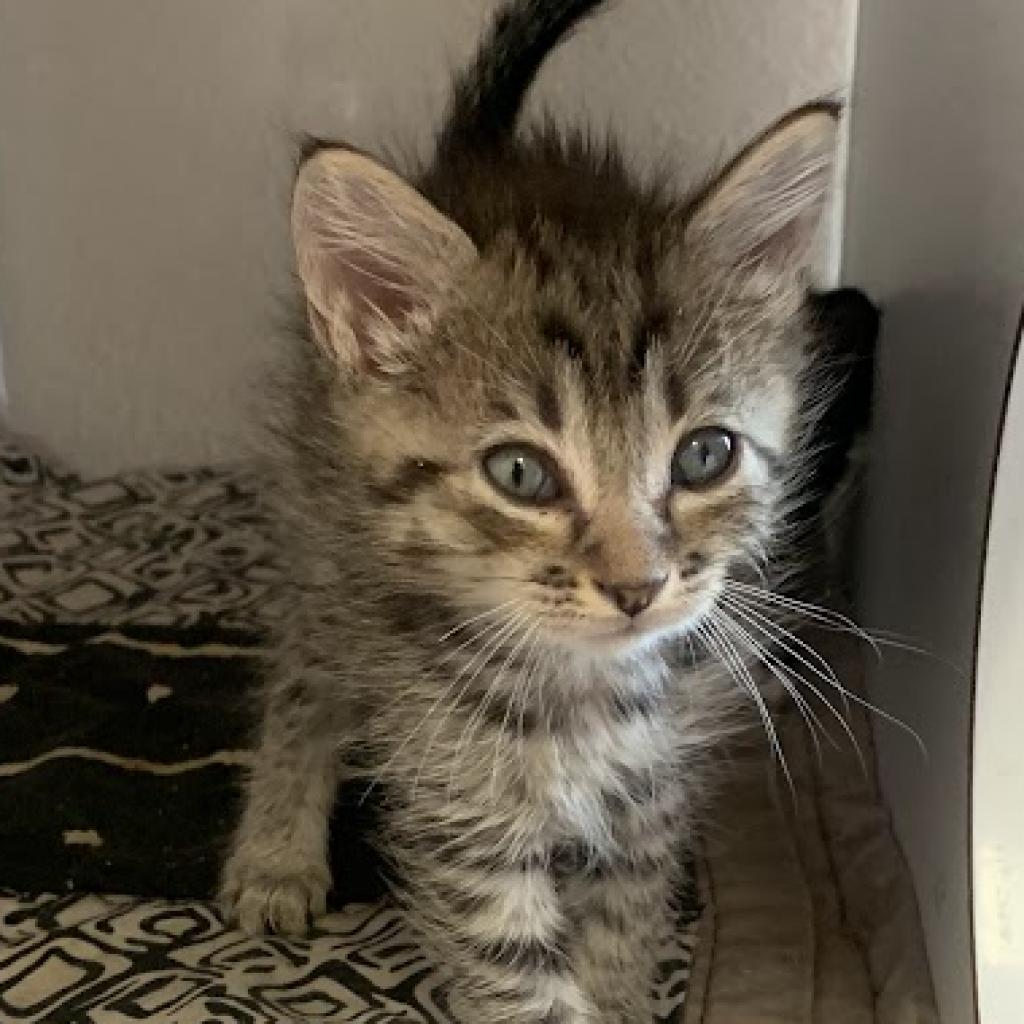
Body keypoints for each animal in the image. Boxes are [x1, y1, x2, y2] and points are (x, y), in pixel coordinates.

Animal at [222, 4, 839, 1019]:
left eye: (705, 455)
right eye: (520, 474)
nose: (637, 587)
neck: (583, 691)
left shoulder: (651, 793)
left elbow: (622, 929)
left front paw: (620, 996)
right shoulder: (461, 804)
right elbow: (517, 976)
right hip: (323, 545)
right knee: (306, 675)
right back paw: (276, 852)